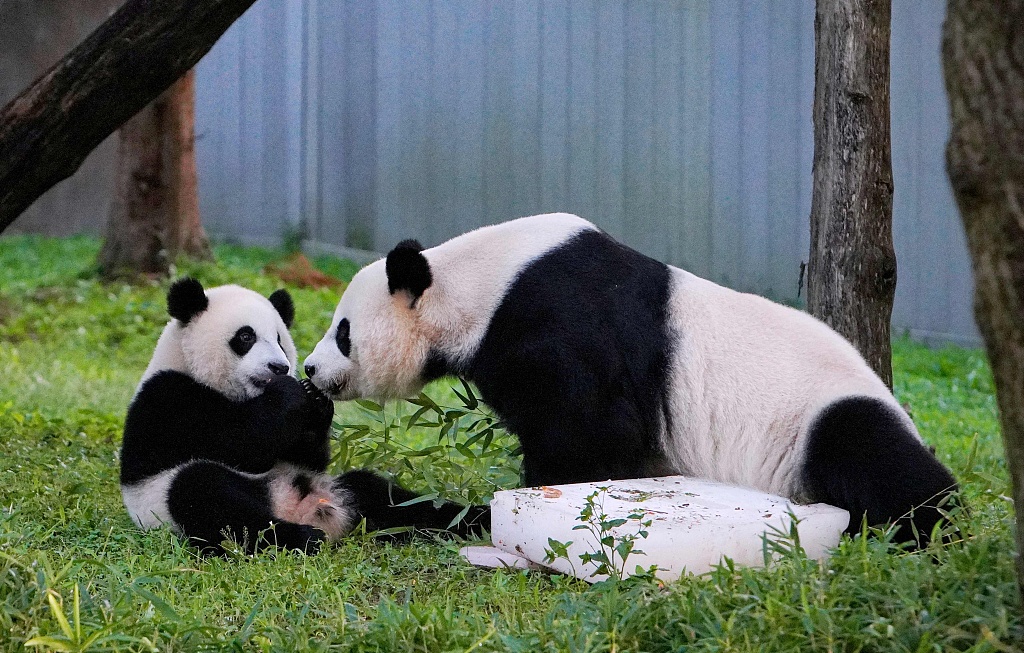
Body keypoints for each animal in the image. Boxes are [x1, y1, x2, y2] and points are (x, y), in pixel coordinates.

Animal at [119, 277, 488, 555]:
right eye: (245, 337)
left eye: (280, 339)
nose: (278, 367)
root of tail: (300, 508)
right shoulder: (170, 398)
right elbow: (240, 443)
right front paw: (290, 393)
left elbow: (306, 455)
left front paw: (316, 399)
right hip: (165, 502)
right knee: (206, 495)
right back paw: (301, 538)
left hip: (336, 488)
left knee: (389, 500)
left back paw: (474, 519)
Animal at [302, 213, 959, 547]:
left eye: (342, 332)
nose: (310, 370)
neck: (477, 281)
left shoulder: (557, 322)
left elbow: (591, 436)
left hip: (821, 414)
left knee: (876, 458)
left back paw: (921, 531)